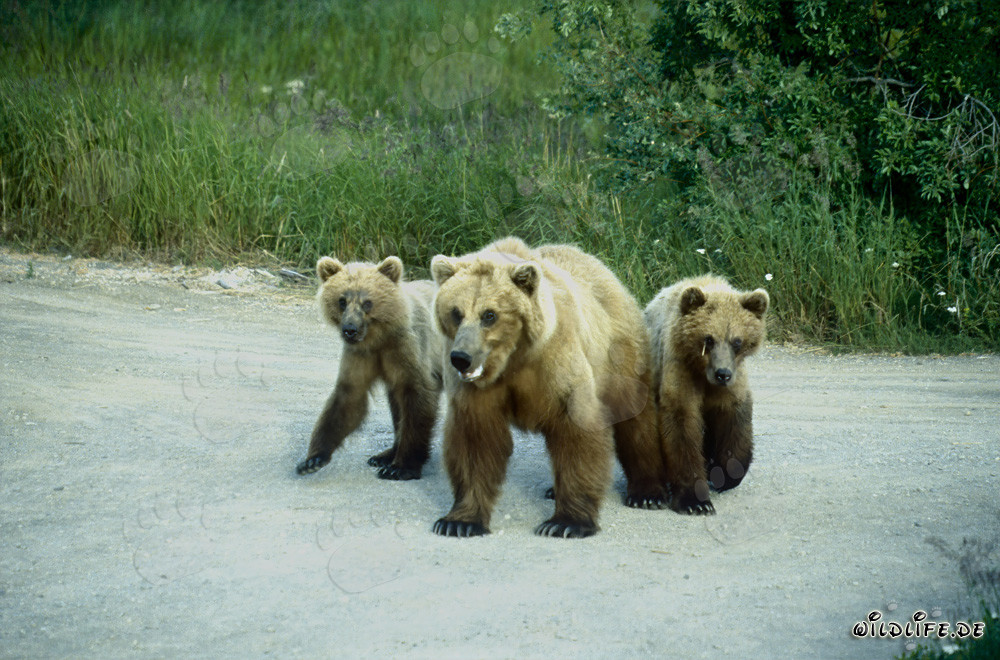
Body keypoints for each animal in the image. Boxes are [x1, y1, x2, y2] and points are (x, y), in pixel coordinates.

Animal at [296, 255, 444, 481]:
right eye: (342, 300)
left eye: (367, 302)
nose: (349, 329)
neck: (379, 338)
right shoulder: (362, 356)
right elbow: (348, 398)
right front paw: (312, 460)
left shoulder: (410, 350)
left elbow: (417, 400)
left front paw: (401, 467)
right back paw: (383, 456)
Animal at [429, 237, 667, 539]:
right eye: (456, 313)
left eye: (489, 315)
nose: (461, 357)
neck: (513, 359)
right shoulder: (477, 390)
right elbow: (475, 439)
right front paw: (458, 521)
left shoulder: (556, 362)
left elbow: (577, 430)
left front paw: (565, 523)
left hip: (619, 353)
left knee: (635, 417)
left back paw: (647, 492)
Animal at [644, 274, 769, 515]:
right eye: (708, 339)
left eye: (736, 341)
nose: (722, 374)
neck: (704, 374)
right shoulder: (679, 369)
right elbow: (681, 425)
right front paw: (695, 501)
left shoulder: (733, 382)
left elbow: (735, 419)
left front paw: (725, 473)